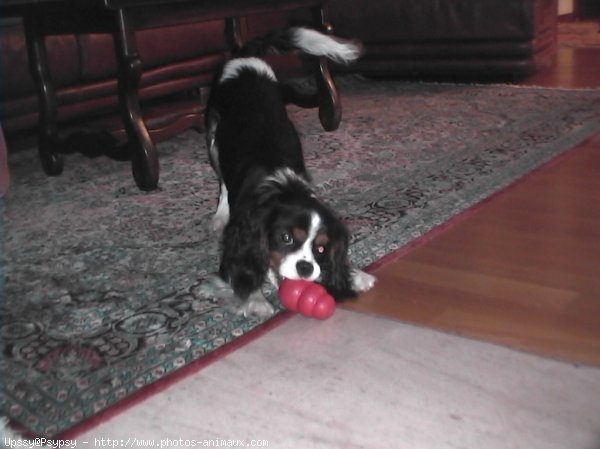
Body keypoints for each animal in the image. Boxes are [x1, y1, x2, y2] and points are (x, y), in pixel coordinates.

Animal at [202, 26, 376, 316]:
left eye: (321, 248)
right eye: (285, 238)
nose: (305, 267)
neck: (282, 186)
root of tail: (244, 57)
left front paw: (356, 275)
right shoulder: (238, 237)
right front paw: (256, 300)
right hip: (214, 137)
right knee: (223, 184)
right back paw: (219, 216)